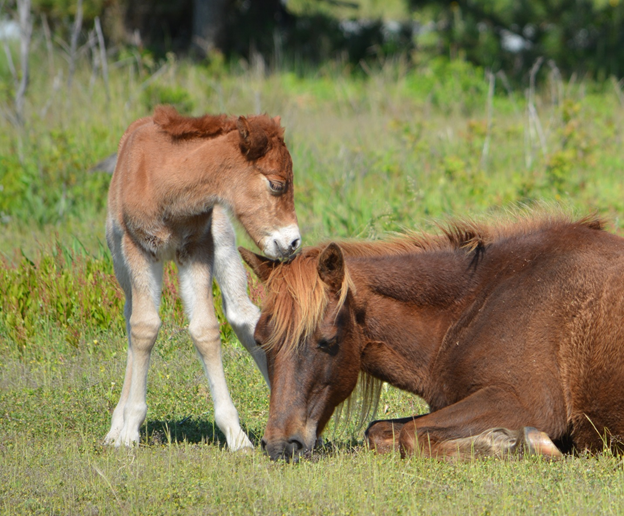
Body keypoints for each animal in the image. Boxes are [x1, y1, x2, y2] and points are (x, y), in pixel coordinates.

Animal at [105, 107, 300, 450]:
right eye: (276, 184)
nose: (292, 242)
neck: (166, 185)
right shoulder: (139, 250)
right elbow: (144, 328)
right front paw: (129, 432)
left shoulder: (197, 249)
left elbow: (205, 330)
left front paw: (236, 436)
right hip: (121, 261)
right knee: (131, 318)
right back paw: (117, 426)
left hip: (223, 242)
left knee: (243, 315)